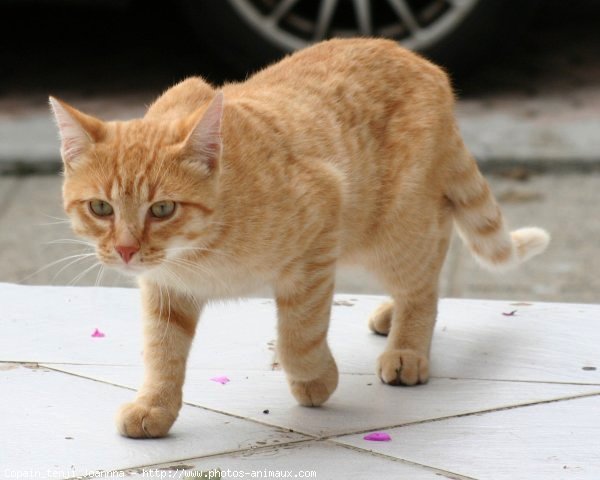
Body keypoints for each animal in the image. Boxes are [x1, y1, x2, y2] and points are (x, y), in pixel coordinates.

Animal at [50, 39, 548, 436]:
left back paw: (407, 346)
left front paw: (315, 380)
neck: (200, 253)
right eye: (100, 208)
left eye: (162, 209)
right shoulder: (165, 289)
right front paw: (155, 406)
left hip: (389, 230)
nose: (126, 250)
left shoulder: (317, 237)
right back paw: (392, 316)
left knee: (427, 265)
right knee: (433, 249)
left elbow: (299, 333)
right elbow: (161, 351)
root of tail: (423, 63)